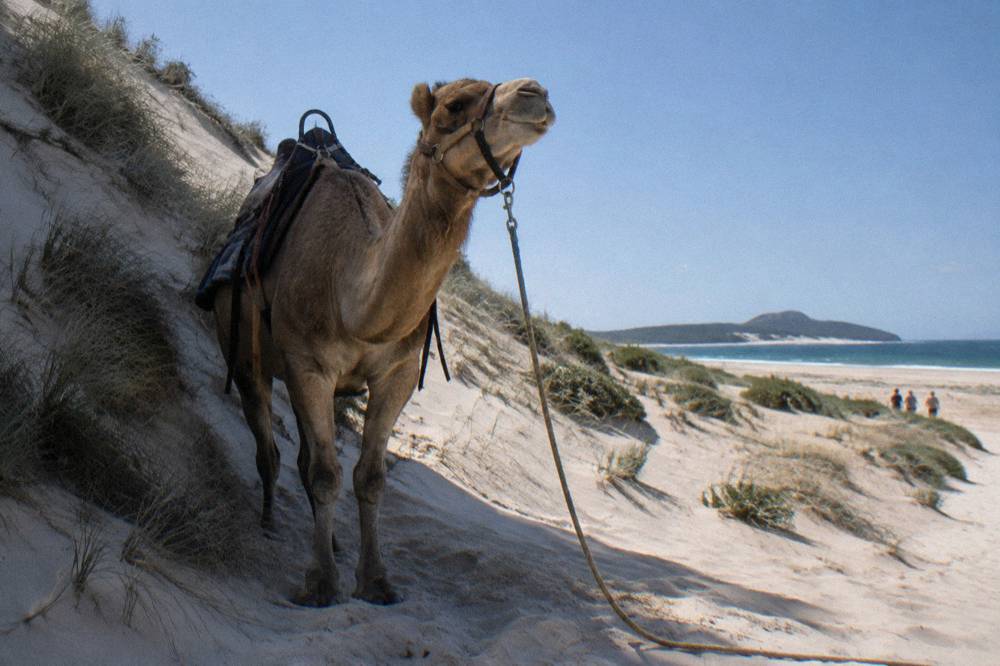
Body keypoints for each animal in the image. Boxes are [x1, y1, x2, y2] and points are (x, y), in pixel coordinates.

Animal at [211, 77, 555, 606]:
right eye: (453, 107)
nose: (534, 92)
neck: (351, 293)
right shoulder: (308, 364)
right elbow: (327, 474)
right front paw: (321, 584)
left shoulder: (397, 373)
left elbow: (368, 478)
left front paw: (374, 580)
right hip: (247, 355)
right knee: (268, 444)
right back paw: (269, 520)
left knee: (304, 455)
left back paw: (331, 540)